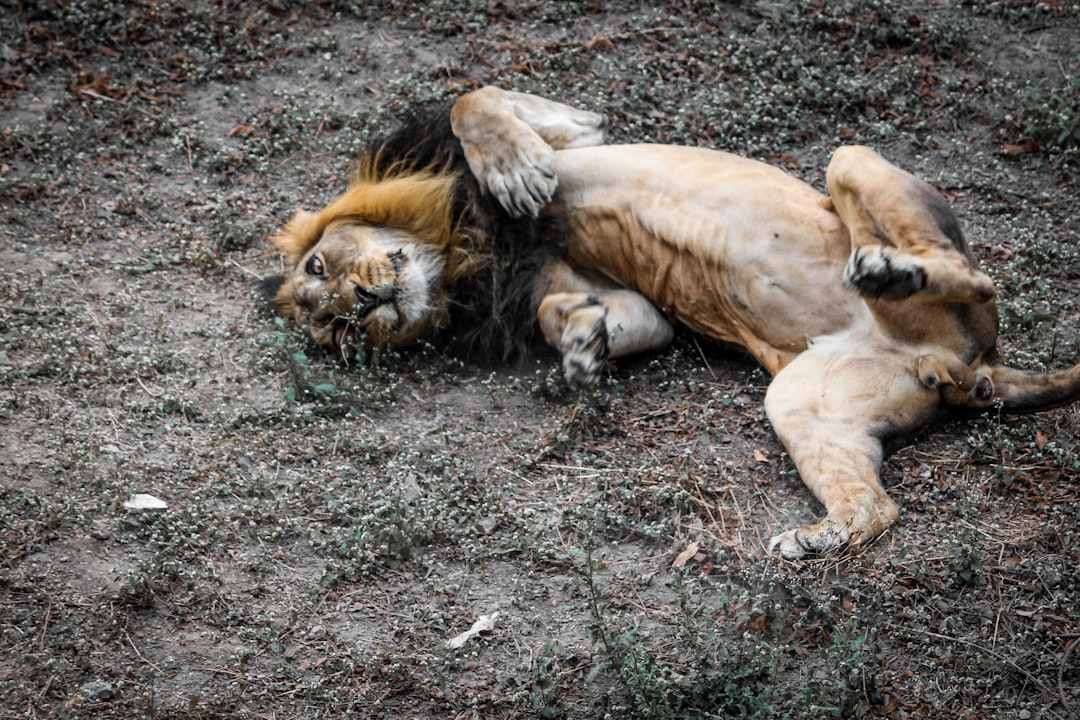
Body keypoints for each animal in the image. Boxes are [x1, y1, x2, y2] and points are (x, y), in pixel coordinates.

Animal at [263, 87, 1080, 561]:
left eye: (320, 270)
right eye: (335, 331)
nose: (358, 305)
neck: (465, 255)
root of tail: (973, 369)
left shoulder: (572, 142)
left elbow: (477, 100)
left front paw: (515, 172)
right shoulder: (609, 297)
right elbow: (599, 316)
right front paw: (580, 346)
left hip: (852, 163)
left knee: (972, 271)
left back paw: (888, 271)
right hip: (803, 398)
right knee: (878, 507)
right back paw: (819, 536)